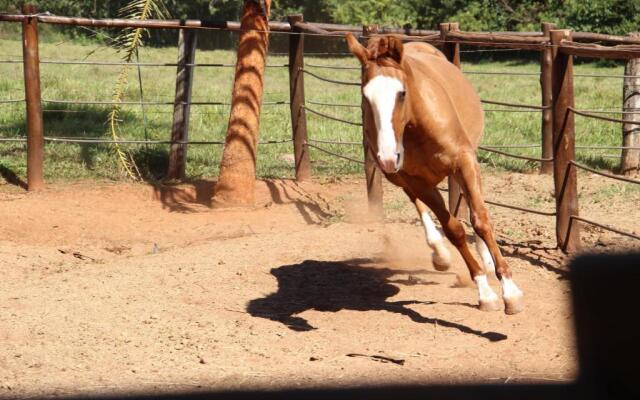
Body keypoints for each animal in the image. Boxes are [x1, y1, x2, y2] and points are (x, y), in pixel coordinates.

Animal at [348, 34, 524, 314]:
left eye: (402, 93)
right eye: (366, 95)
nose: (387, 156)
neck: (415, 127)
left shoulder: (464, 161)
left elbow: (481, 220)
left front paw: (510, 292)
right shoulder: (414, 181)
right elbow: (453, 230)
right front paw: (485, 293)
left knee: (471, 205)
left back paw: (484, 259)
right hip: (401, 177)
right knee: (421, 206)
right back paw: (439, 253)